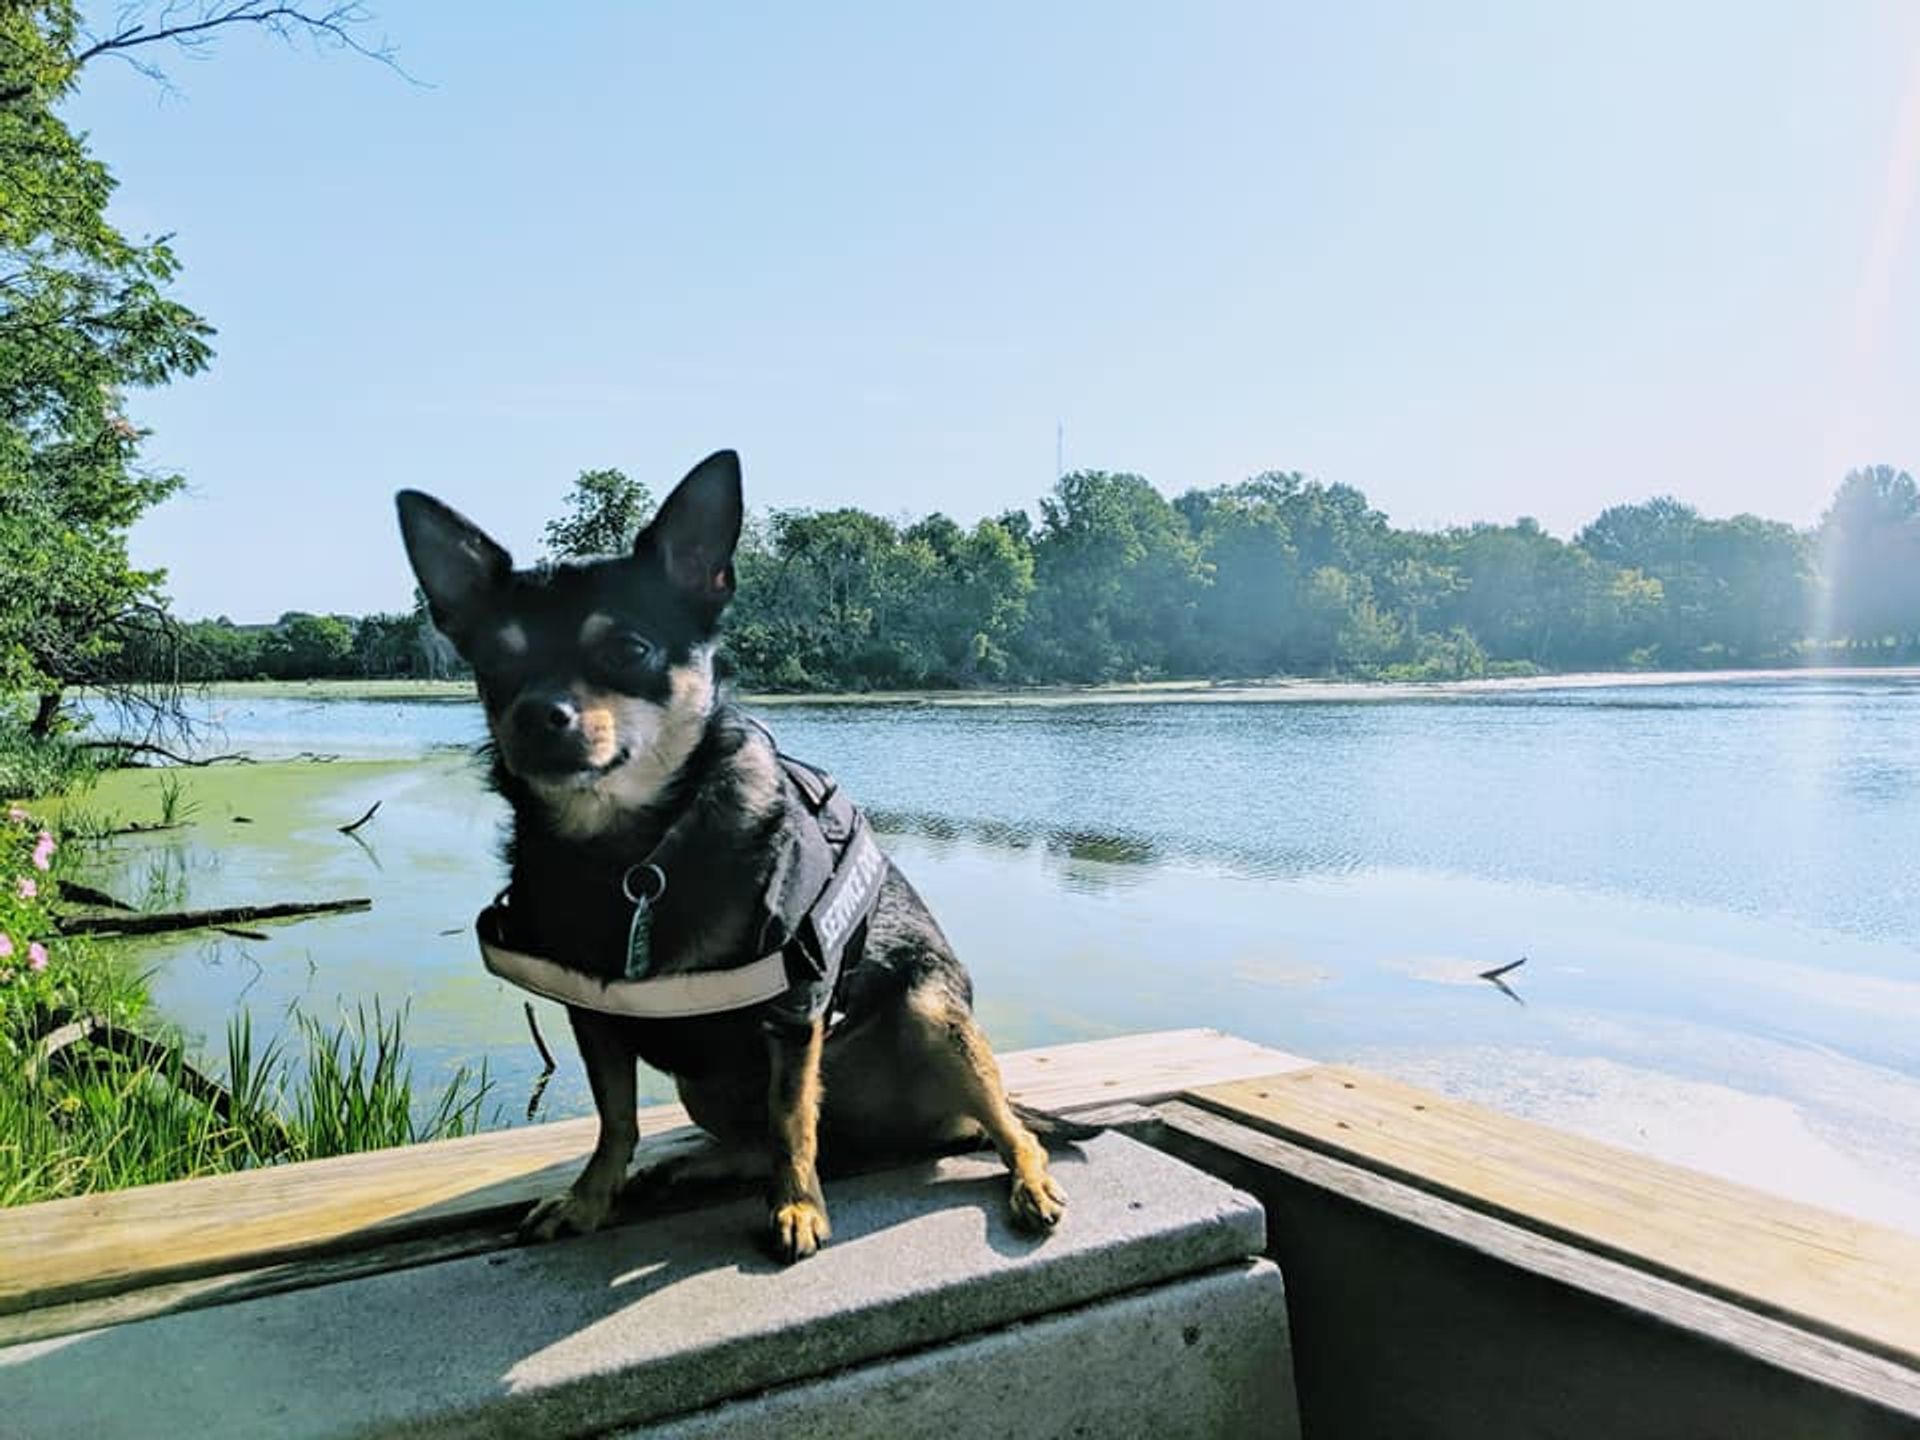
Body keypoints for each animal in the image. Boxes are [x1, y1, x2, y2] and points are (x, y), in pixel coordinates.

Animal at [397, 451, 1075, 1259]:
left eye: (628, 650)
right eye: (495, 667)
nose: (536, 715)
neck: (632, 855)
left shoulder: (794, 1011)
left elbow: (793, 1120)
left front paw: (798, 1207)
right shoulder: (592, 1015)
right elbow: (616, 1119)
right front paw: (590, 1200)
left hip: (931, 1013)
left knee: (1009, 1130)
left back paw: (1027, 1182)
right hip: (708, 1087)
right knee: (767, 1138)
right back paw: (698, 1164)